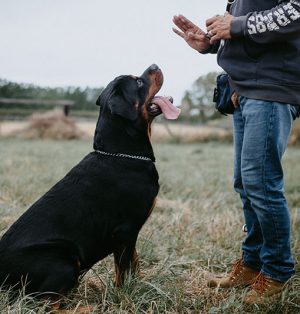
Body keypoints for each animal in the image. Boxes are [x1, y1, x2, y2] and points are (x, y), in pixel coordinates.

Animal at [0, 63, 179, 296]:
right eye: (139, 82)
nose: (154, 65)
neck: (120, 153)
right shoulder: (126, 230)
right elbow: (124, 269)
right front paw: (126, 295)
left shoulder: (129, 234)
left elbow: (135, 262)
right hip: (63, 262)